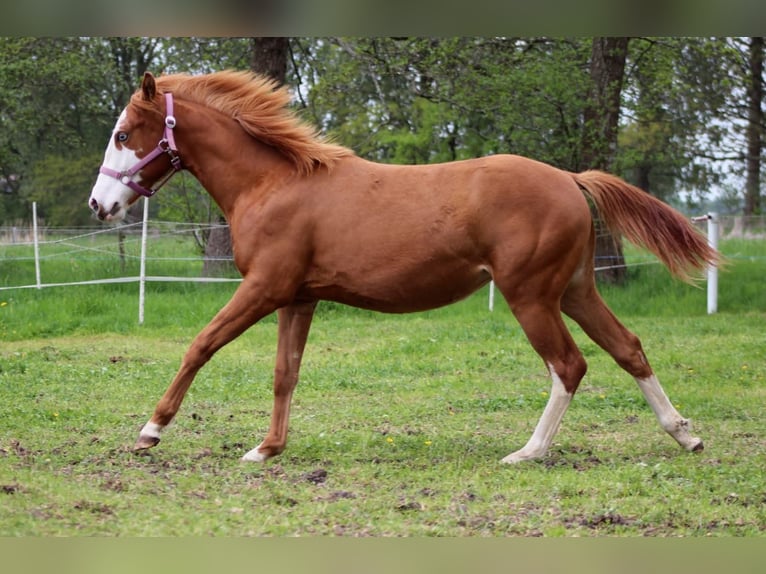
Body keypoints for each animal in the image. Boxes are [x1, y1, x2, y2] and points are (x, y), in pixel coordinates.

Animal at [89, 70, 718, 464]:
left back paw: (528, 452)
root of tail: (569, 178)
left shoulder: (264, 288)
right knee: (627, 347)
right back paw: (685, 436)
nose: (99, 205)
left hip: (531, 296)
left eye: (123, 133)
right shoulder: (300, 297)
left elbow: (201, 345)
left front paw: (150, 431)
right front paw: (267, 449)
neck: (275, 183)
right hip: (576, 291)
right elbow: (285, 373)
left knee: (568, 365)